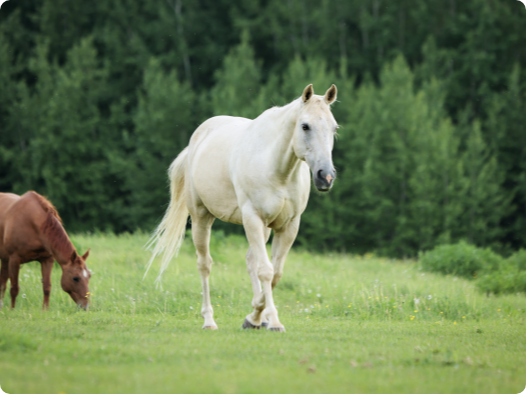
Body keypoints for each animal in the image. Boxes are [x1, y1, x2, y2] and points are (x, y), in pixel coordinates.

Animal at [146, 84, 340, 330]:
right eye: (305, 126)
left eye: (334, 128)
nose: (326, 177)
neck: (278, 169)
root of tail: (195, 142)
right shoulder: (252, 219)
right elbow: (266, 271)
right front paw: (273, 321)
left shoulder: (288, 226)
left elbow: (275, 272)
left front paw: (256, 317)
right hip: (201, 218)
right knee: (205, 264)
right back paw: (209, 320)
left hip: (264, 228)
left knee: (250, 261)